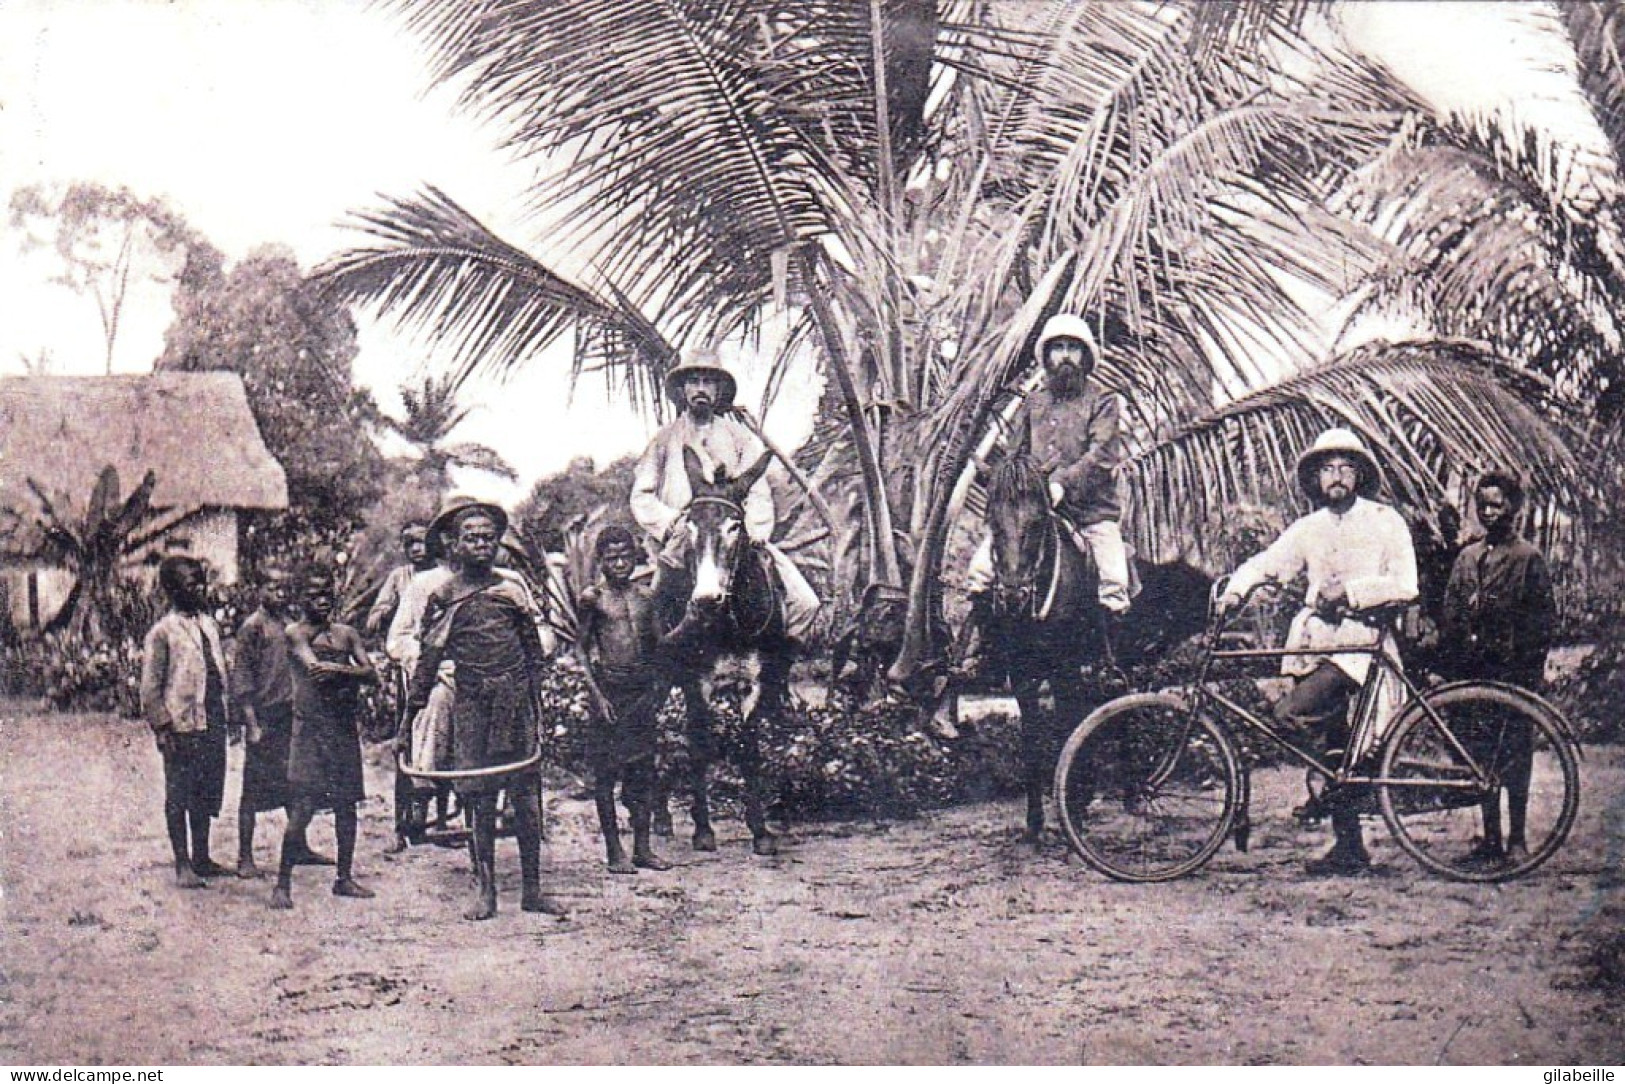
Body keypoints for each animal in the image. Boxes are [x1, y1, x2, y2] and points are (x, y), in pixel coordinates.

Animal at [653, 445, 793, 858]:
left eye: (735, 526)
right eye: (690, 525)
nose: (704, 600)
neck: (730, 624)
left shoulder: (754, 684)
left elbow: (749, 750)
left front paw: (761, 831)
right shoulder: (695, 683)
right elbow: (700, 746)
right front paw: (703, 830)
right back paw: (659, 816)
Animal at [975, 448, 1209, 838]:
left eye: (1037, 521)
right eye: (993, 522)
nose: (1012, 596)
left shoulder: (1065, 670)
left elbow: (1068, 730)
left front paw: (1073, 811)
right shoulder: (1022, 676)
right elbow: (1032, 744)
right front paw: (1036, 823)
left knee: (1120, 713)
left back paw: (1126, 795)